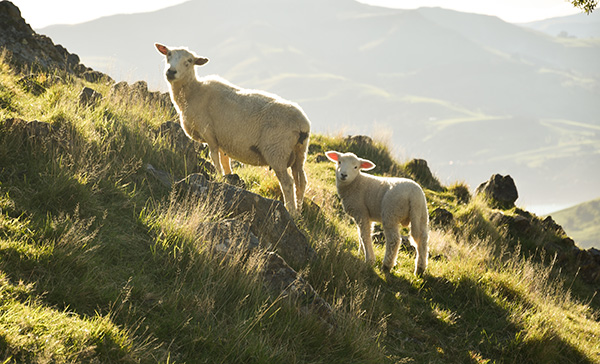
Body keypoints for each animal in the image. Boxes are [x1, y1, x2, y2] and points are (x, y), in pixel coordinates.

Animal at [156, 43, 310, 215]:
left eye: (189, 61)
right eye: (168, 54)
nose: (171, 72)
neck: (193, 92)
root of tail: (302, 124)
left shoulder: (209, 132)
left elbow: (214, 157)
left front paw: (218, 176)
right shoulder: (223, 140)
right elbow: (225, 161)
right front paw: (227, 177)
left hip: (277, 151)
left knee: (288, 182)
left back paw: (291, 211)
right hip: (299, 152)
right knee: (301, 181)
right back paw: (299, 211)